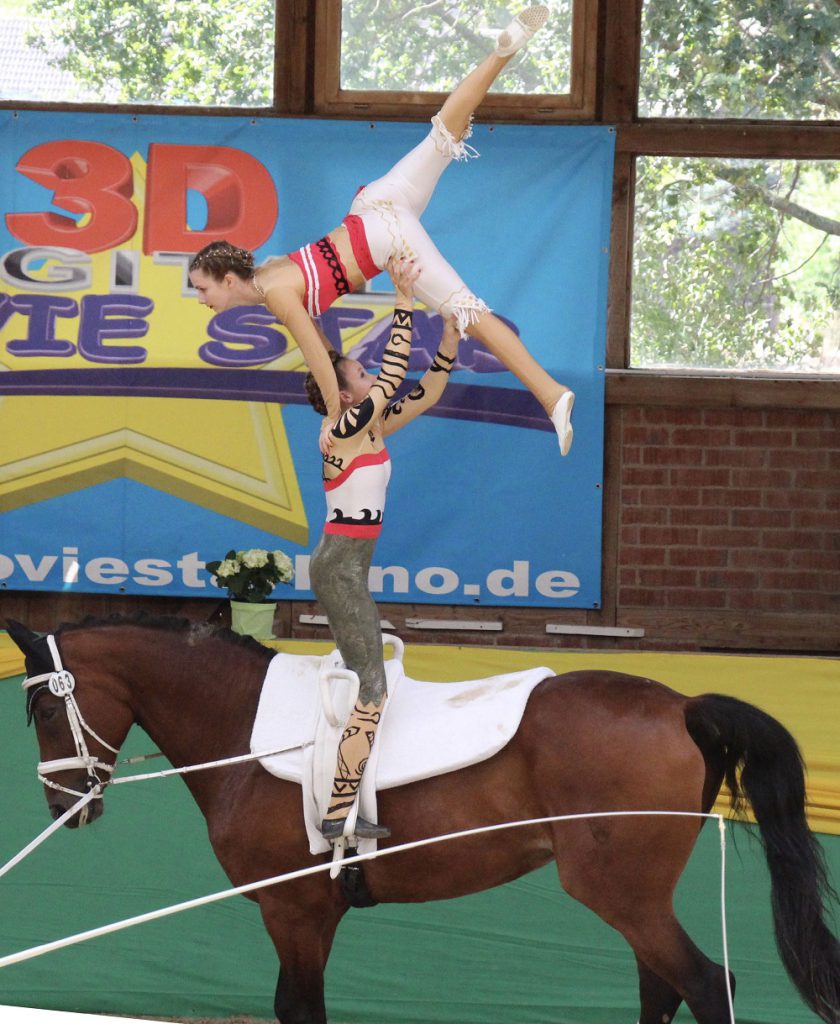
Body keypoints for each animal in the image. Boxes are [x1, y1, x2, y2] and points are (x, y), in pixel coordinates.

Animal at [6, 614, 840, 1024]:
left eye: (43, 709)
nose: (61, 803)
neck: (250, 728)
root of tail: (683, 704)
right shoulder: (314, 914)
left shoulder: (293, 910)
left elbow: (297, 1009)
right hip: (636, 899)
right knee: (663, 990)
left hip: (621, 892)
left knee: (706, 986)